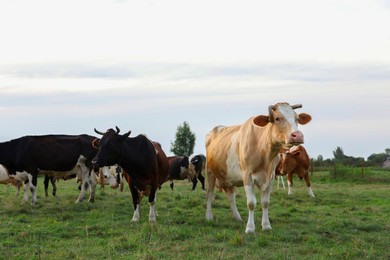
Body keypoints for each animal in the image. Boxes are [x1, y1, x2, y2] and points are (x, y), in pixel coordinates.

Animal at [206, 102, 312, 234]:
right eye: (277, 118)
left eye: (297, 118)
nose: (297, 135)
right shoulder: (247, 176)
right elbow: (251, 203)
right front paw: (250, 228)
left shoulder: (270, 177)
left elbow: (265, 202)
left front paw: (266, 225)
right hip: (209, 172)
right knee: (209, 193)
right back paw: (209, 217)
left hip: (228, 176)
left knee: (230, 196)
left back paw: (237, 217)